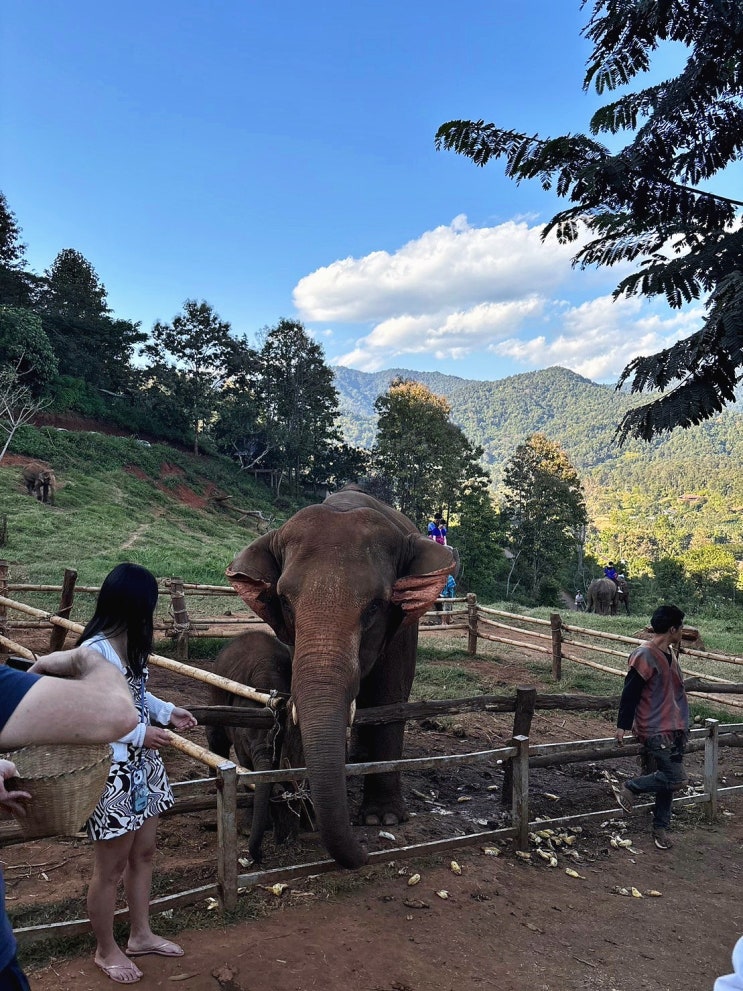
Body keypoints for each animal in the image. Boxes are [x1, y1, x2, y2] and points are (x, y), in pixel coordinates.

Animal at [205, 630, 298, 864]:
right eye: (246, 742)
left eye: (278, 740)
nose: (257, 856)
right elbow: (245, 764)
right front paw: (248, 830)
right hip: (216, 688)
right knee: (216, 737)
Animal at [225, 484, 457, 869]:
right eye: (285, 602)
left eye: (376, 605)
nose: (365, 852)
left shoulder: (402, 629)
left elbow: (390, 698)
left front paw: (382, 819)